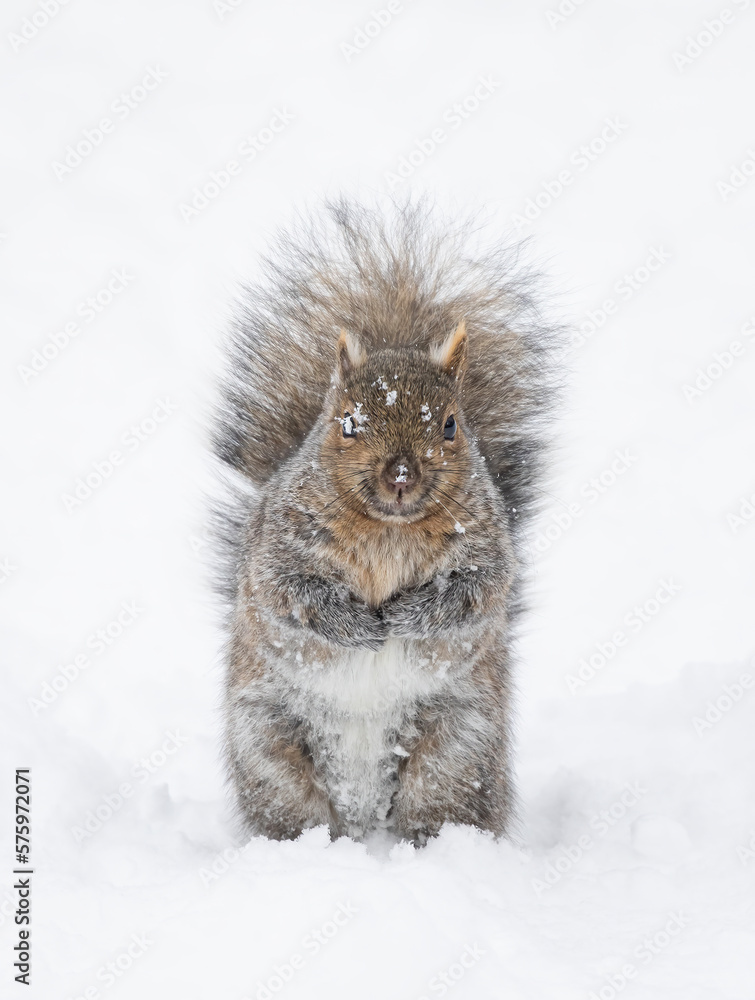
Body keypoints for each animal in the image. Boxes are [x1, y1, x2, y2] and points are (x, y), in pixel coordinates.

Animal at [214, 199, 560, 840]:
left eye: (450, 424)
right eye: (347, 422)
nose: (400, 475)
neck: (388, 530)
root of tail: (363, 816)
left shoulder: (487, 552)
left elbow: (472, 592)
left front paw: (405, 616)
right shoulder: (278, 549)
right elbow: (291, 593)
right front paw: (357, 625)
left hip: (458, 751)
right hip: (267, 747)